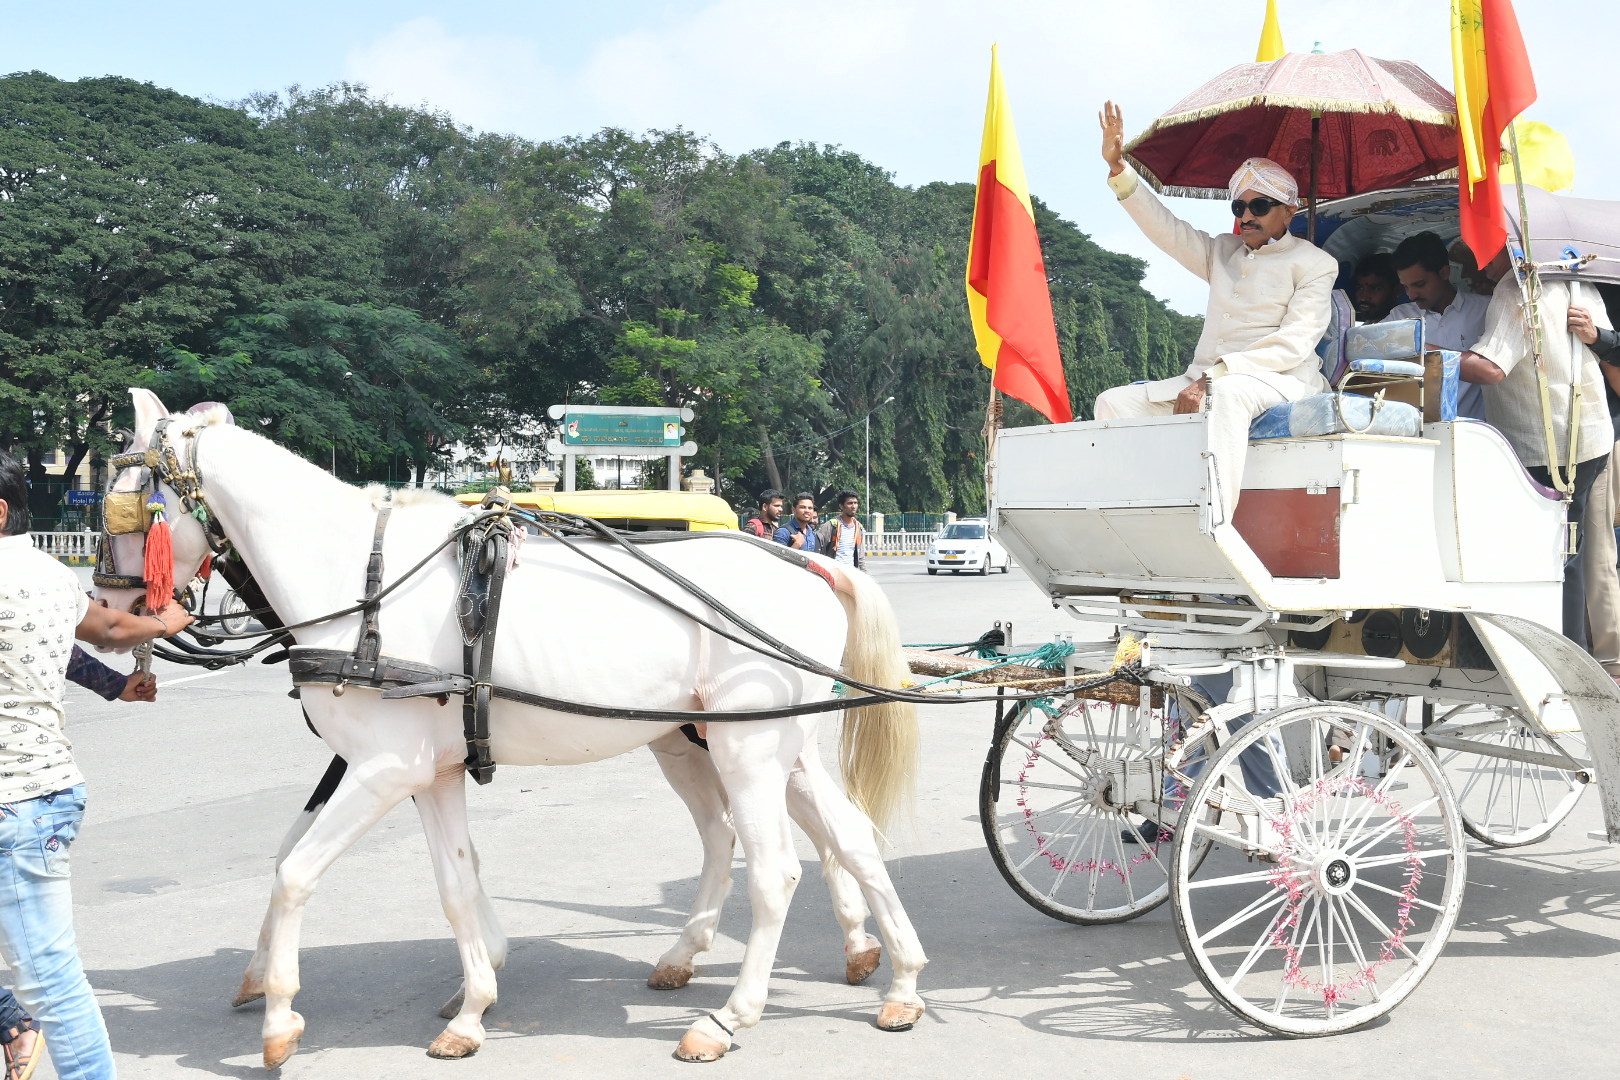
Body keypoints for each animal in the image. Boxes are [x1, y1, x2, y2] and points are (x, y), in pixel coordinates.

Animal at [101, 393, 933, 1068]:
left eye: (122, 512)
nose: (110, 616)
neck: (362, 585)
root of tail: (808, 563)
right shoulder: (428, 772)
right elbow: (455, 881)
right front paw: (471, 1007)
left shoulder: (380, 769)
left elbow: (294, 870)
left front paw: (279, 1018)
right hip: (744, 739)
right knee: (844, 838)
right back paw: (899, 978)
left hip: (746, 745)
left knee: (776, 869)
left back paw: (729, 1018)